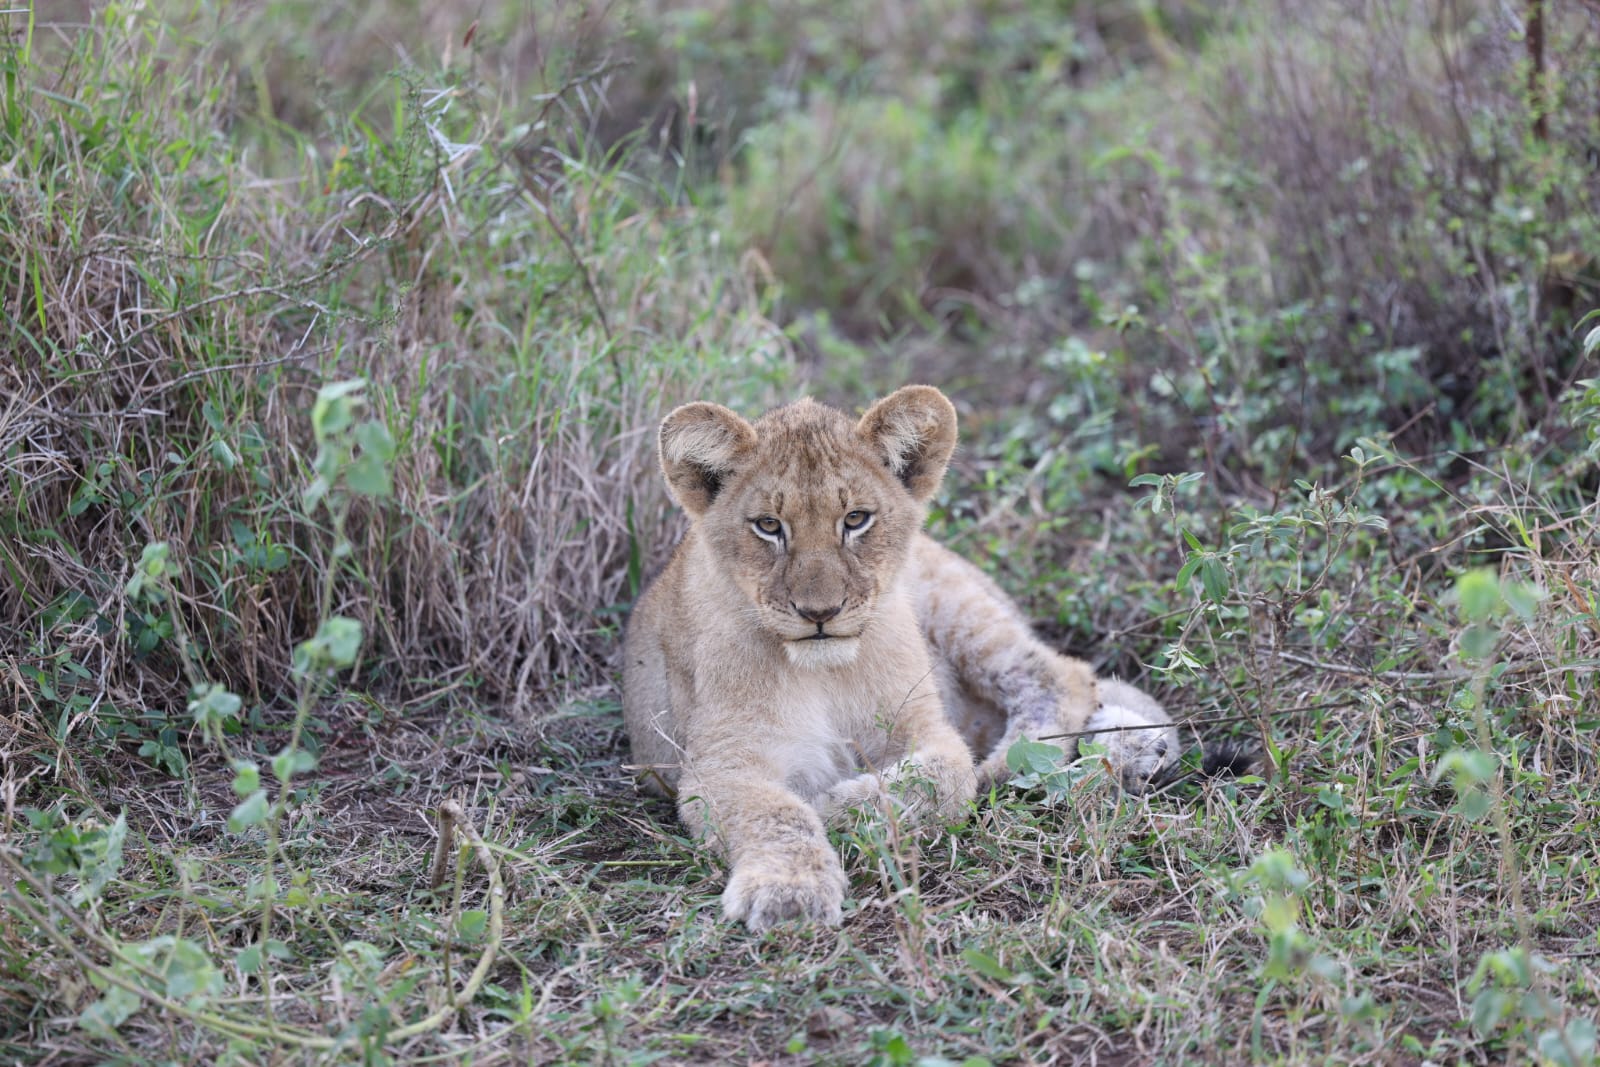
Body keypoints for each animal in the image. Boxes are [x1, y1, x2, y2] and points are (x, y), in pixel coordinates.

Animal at [622, 386, 1182, 930]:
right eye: (768, 525)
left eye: (855, 519)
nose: (820, 612)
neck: (825, 674)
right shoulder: (717, 765)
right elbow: (776, 812)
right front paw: (789, 890)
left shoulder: (929, 730)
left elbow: (942, 779)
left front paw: (831, 805)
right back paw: (1126, 752)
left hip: (956, 606)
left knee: (1062, 674)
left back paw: (1025, 765)